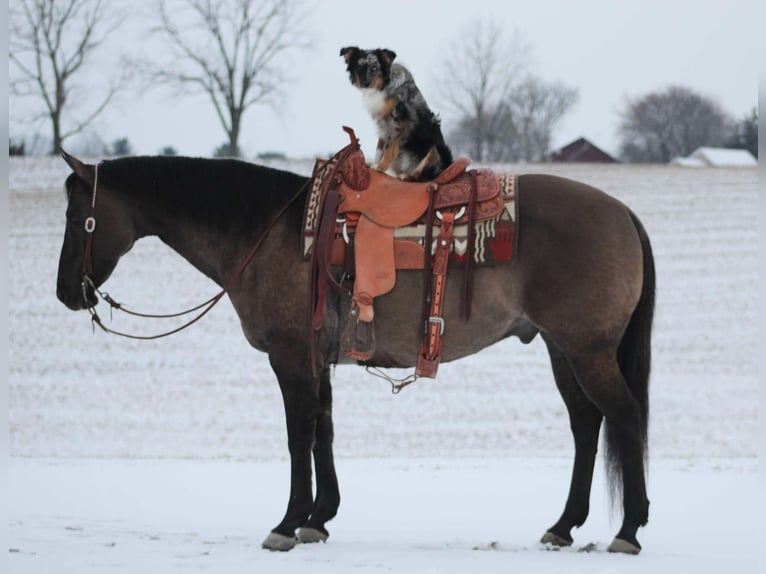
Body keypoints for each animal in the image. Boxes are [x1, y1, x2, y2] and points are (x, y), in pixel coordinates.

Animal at [57, 151, 656, 556]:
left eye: (77, 217)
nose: (66, 292)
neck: (270, 232)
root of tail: (624, 213)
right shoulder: (316, 361)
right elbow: (323, 430)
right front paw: (318, 519)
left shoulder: (290, 359)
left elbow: (298, 435)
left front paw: (286, 523)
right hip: (563, 349)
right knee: (586, 424)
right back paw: (564, 525)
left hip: (586, 350)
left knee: (623, 416)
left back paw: (629, 530)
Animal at [340, 47, 452, 182]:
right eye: (359, 68)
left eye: (374, 68)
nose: (365, 83)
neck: (383, 87)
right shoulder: (382, 124)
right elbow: (380, 146)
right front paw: (374, 164)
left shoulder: (396, 121)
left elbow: (388, 148)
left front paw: (380, 167)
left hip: (434, 152)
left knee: (424, 177)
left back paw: (407, 176)